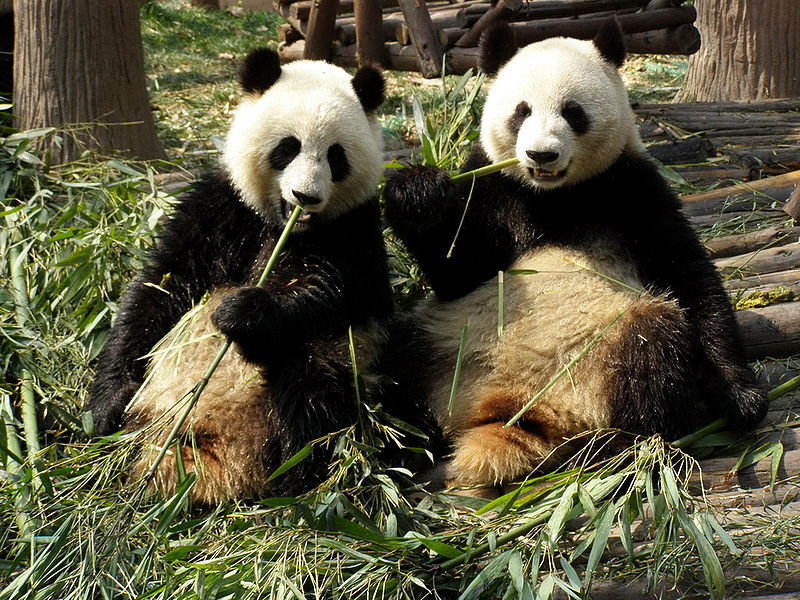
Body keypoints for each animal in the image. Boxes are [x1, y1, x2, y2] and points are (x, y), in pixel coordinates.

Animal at [86, 49, 396, 504]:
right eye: (288, 148)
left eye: (335, 156)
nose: (304, 197)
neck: (284, 227)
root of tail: (217, 465)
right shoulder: (223, 205)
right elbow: (160, 287)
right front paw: (107, 404)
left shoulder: (354, 228)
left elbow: (337, 290)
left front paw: (242, 312)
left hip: (333, 369)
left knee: (315, 390)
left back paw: (295, 477)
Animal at [382, 22, 768, 492]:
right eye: (522, 111)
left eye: (573, 112)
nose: (540, 154)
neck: (555, 196)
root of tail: (516, 410)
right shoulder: (495, 190)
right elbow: (460, 270)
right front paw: (417, 192)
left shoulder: (631, 188)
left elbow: (689, 275)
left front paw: (741, 397)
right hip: (446, 342)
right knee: (394, 368)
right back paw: (396, 448)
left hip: (605, 354)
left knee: (654, 346)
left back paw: (627, 451)